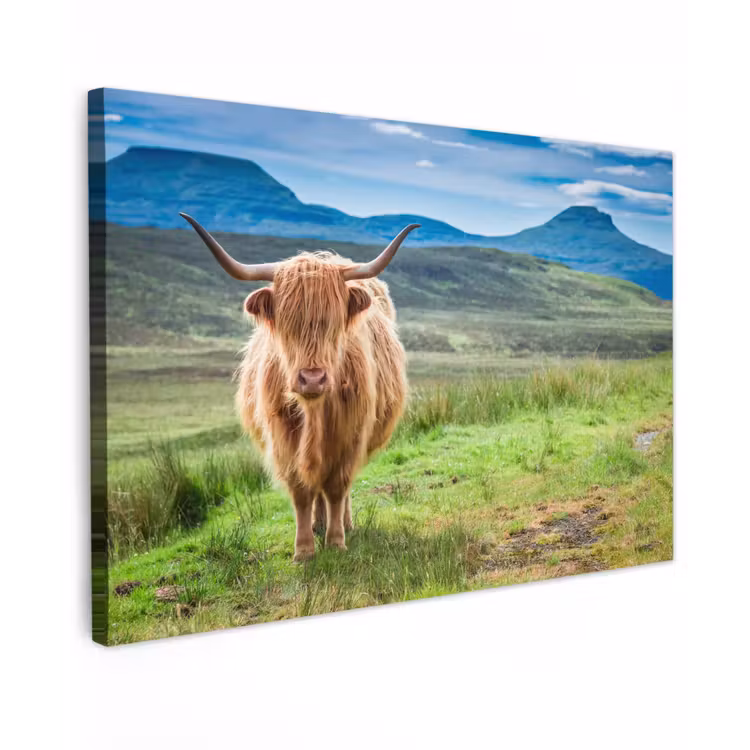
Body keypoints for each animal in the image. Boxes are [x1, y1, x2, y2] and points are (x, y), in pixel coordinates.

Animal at [179, 213, 419, 561]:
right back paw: (318, 524)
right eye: (287, 322)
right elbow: (302, 490)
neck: (314, 412)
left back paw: (343, 524)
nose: (313, 378)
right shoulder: (283, 437)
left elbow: (337, 487)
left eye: (333, 322)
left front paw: (336, 541)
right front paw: (304, 549)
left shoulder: (351, 434)